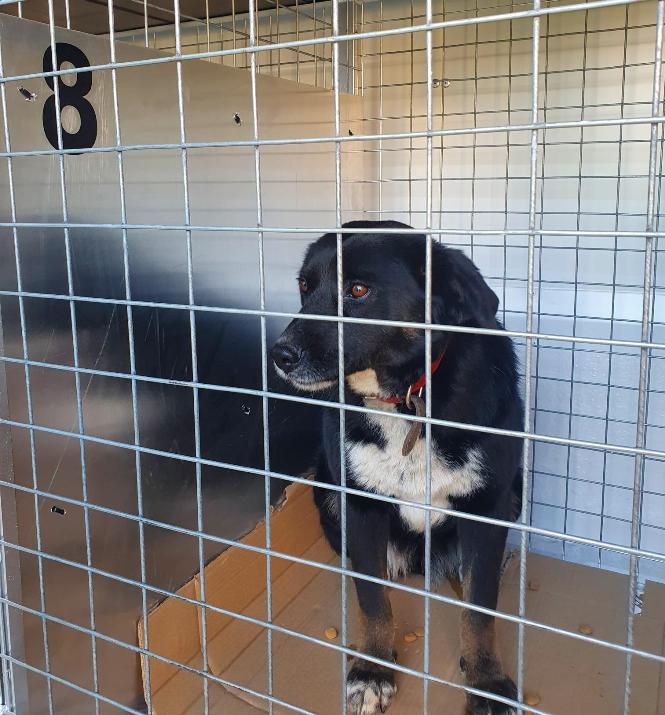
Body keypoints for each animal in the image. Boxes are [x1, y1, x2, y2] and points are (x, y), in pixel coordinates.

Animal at [272, 221, 523, 715]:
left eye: (359, 289)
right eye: (305, 287)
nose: (280, 355)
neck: (404, 399)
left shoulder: (488, 506)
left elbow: (480, 610)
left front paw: (487, 682)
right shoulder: (361, 506)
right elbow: (372, 601)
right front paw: (372, 670)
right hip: (327, 491)